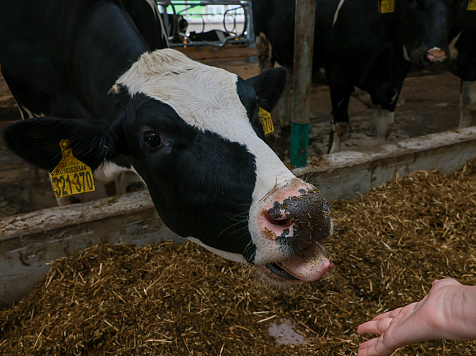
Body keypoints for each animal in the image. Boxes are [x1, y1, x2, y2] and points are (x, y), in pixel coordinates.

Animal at [251, 0, 474, 152]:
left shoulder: (394, 82)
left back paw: (285, 122)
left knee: (285, 82)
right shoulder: (339, 78)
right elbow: (341, 125)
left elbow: (385, 128)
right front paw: (334, 154)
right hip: (264, 45)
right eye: (412, 2)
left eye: (457, 4)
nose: (436, 57)